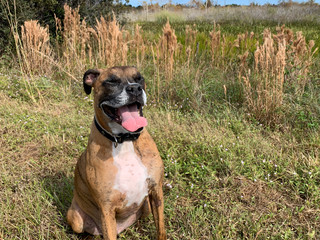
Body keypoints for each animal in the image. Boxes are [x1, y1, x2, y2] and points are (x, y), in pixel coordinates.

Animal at [66, 66, 166, 240]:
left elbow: (161, 229)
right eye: (111, 81)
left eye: (139, 78)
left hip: (146, 206)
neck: (124, 140)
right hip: (76, 218)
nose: (134, 88)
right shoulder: (107, 208)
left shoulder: (156, 192)